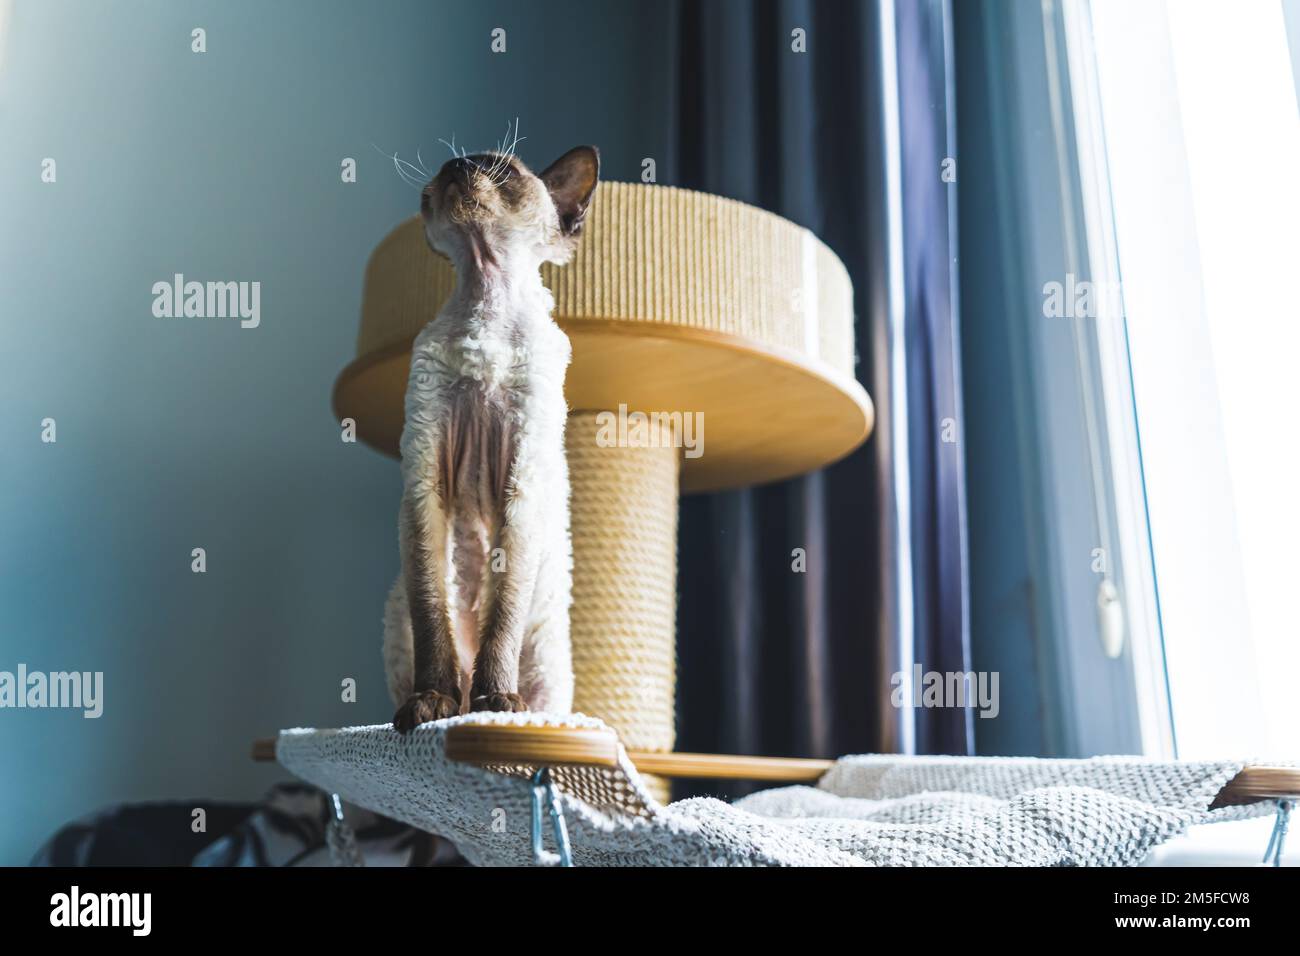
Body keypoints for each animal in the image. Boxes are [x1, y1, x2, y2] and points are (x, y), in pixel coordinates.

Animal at [379, 141, 595, 728]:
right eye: (444, 171)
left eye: (501, 169)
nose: (457, 166)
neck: (485, 305)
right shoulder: (424, 479)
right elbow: (432, 612)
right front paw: (429, 705)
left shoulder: (521, 485)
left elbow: (503, 614)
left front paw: (497, 704)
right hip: (398, 620)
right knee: (442, 662)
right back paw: (443, 706)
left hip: (544, 653)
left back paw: (496, 708)